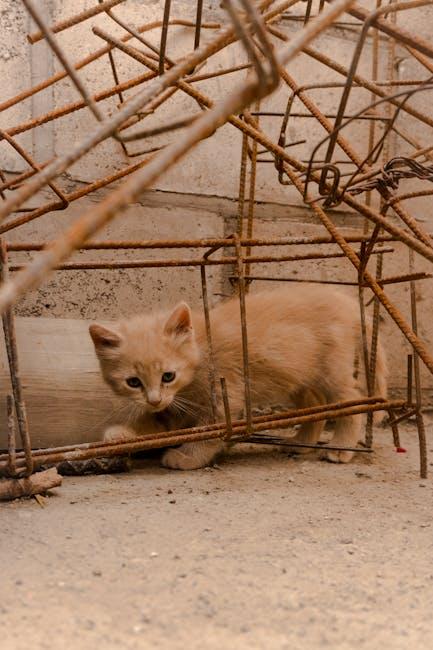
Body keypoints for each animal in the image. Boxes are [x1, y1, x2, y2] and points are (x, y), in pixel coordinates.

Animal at [89, 286, 386, 468]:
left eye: (168, 376)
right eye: (133, 382)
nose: (154, 400)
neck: (201, 348)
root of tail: (348, 302)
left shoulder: (224, 392)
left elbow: (212, 431)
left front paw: (188, 457)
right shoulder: (175, 406)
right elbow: (158, 424)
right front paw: (123, 435)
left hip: (331, 371)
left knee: (353, 399)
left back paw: (340, 447)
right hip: (298, 376)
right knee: (315, 404)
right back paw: (301, 442)